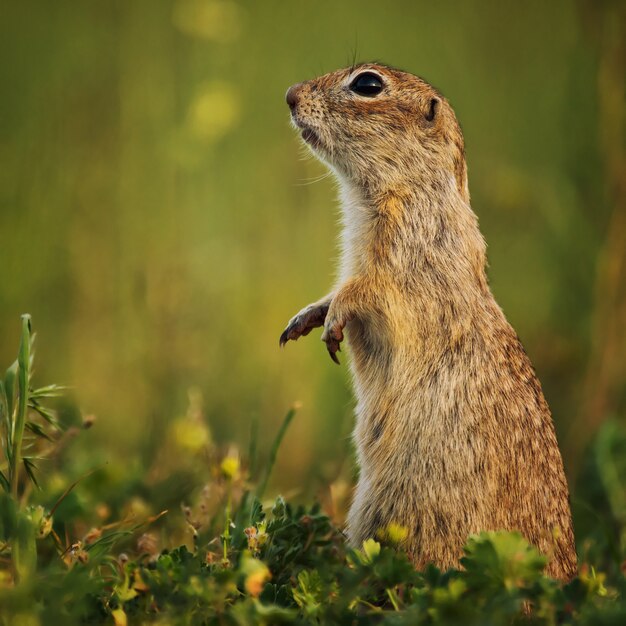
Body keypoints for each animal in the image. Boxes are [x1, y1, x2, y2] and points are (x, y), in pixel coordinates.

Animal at [278, 63, 576, 580]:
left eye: (368, 84)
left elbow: (364, 292)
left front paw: (333, 323)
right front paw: (305, 318)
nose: (291, 95)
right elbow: (335, 292)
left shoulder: (402, 261)